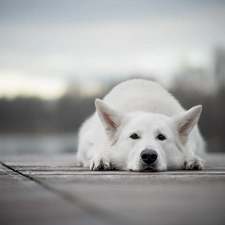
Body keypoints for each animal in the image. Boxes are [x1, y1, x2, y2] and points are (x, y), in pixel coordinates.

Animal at [76, 78, 206, 171]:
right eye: (134, 136)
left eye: (161, 137)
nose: (149, 155)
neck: (145, 108)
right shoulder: (87, 142)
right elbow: (95, 149)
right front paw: (101, 158)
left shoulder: (191, 141)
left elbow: (189, 149)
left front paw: (191, 158)